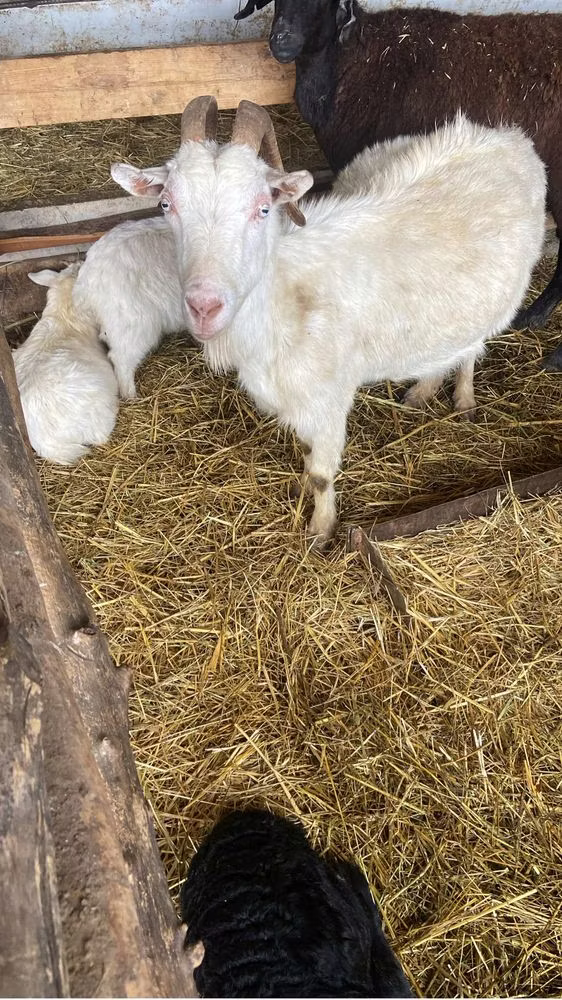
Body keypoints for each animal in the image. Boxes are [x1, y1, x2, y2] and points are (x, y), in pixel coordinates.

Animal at [111, 97, 545, 543]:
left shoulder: (329, 398)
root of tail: (510, 137)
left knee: (473, 349)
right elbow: (306, 455)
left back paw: (464, 399)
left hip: (500, 298)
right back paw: (422, 391)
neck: (284, 298)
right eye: (167, 204)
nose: (204, 306)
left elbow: (322, 473)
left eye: (262, 208)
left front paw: (320, 533)